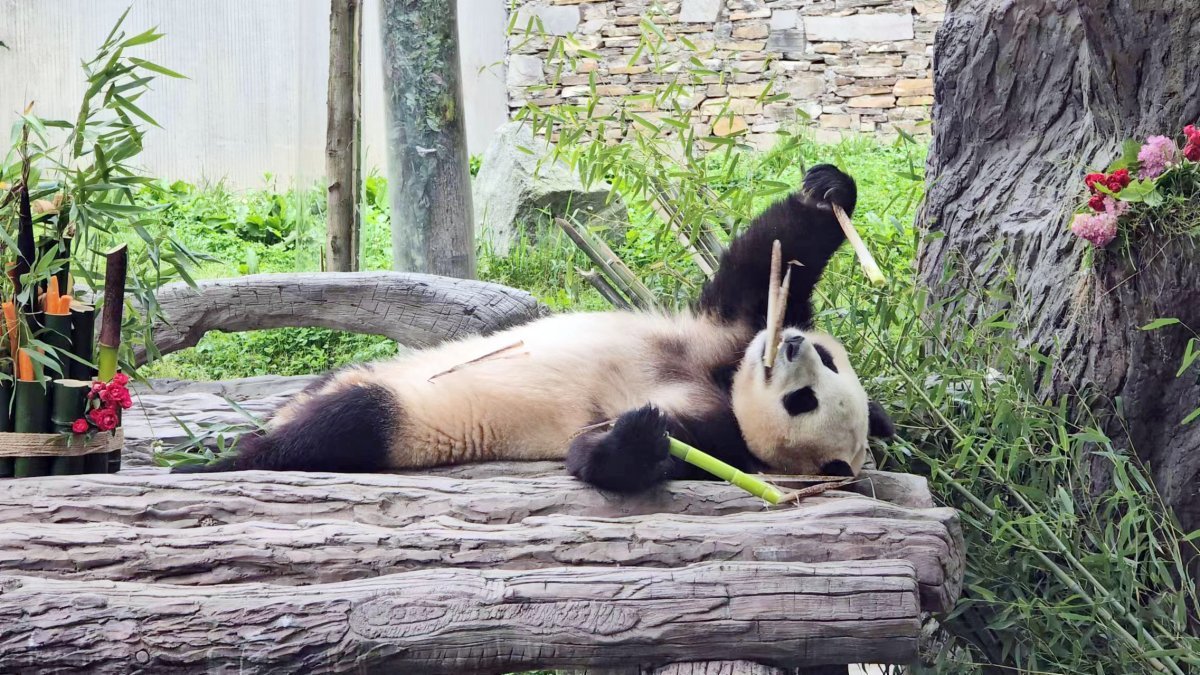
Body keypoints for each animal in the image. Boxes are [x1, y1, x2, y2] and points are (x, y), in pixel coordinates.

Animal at [174, 163, 897, 487]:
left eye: (806, 400)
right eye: (828, 362)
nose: (793, 346)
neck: (722, 377)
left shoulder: (724, 428)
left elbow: (633, 453)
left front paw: (635, 435)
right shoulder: (728, 330)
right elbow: (770, 261)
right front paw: (828, 191)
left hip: (406, 420)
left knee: (344, 426)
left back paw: (229, 454)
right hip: (362, 367)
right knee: (329, 399)